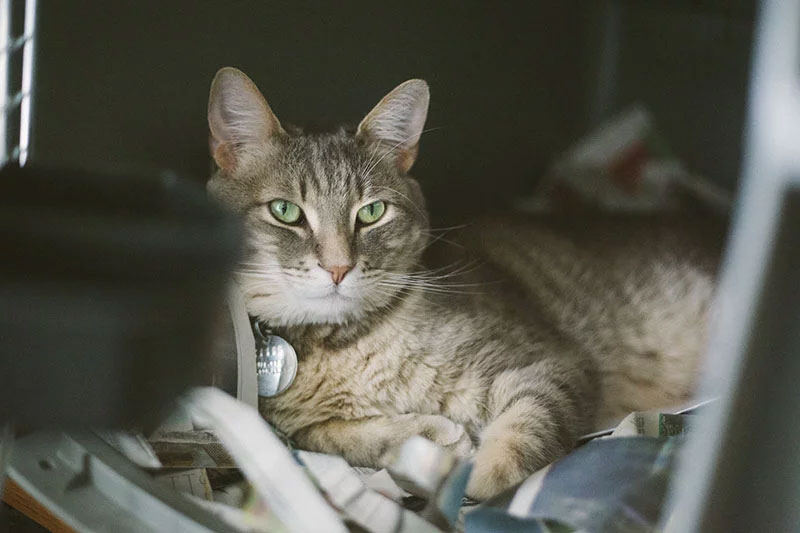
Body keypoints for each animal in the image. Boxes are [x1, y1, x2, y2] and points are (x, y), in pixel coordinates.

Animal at [203, 67, 720, 498]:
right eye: (285, 211)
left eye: (372, 212)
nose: (337, 267)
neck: (346, 346)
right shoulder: (294, 429)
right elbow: (334, 437)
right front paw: (429, 439)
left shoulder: (551, 363)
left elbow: (526, 425)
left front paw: (479, 478)